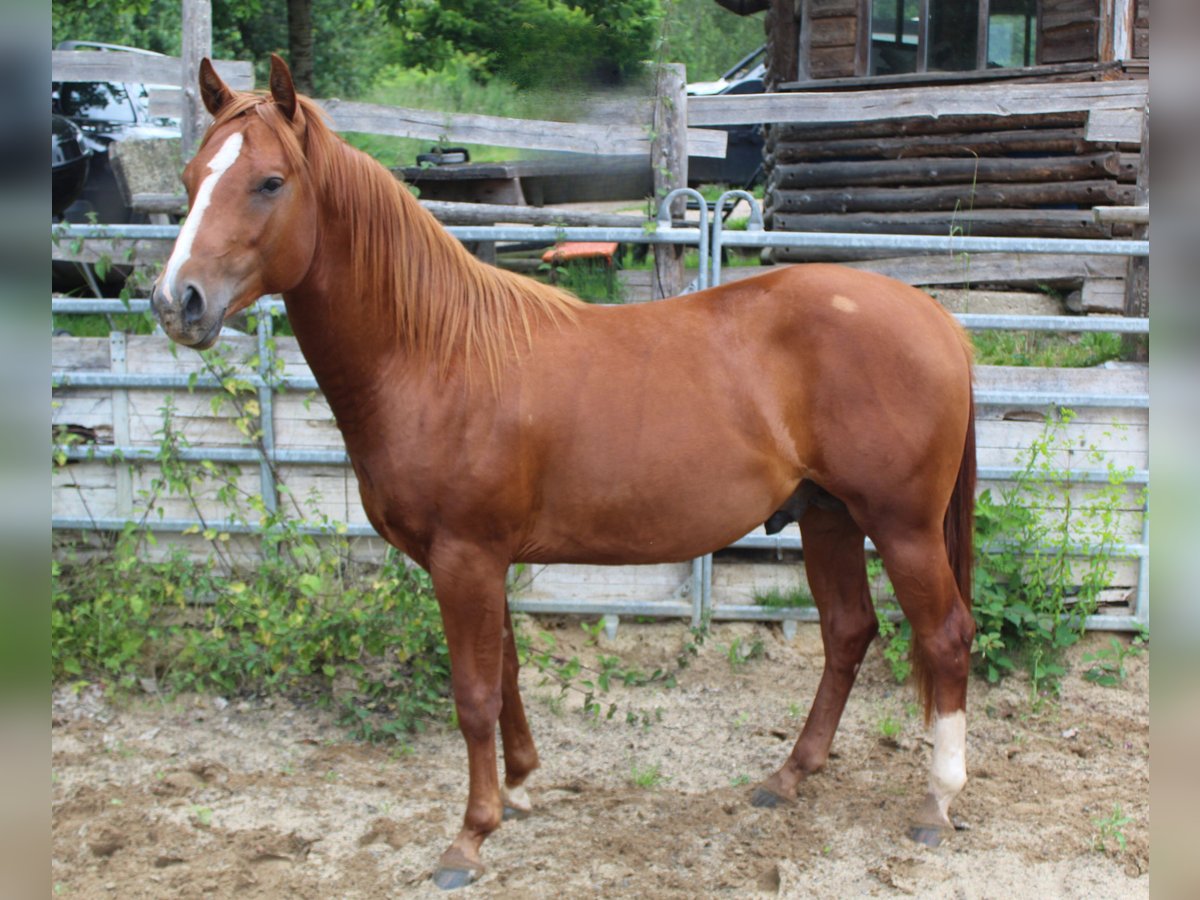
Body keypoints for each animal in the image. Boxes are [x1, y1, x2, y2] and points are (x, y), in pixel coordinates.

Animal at [152, 58, 974, 897]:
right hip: (827, 514)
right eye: (191, 177)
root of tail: (939, 322)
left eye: (270, 182)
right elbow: (508, 672)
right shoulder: (484, 561)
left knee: (945, 636)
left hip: (901, 526)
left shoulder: (465, 557)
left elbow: (474, 694)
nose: (176, 301)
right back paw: (789, 775)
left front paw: (469, 837)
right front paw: (519, 788)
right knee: (848, 631)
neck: (436, 353)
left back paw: (937, 801)